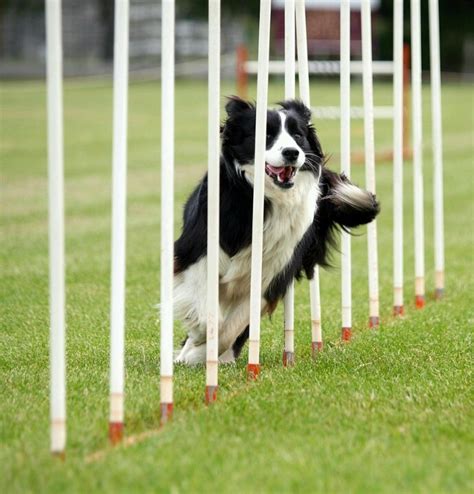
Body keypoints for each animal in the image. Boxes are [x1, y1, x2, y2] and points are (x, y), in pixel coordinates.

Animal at [173, 98, 378, 364]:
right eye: (266, 135)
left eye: (298, 135)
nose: (291, 152)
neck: (266, 199)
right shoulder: (198, 249)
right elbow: (208, 310)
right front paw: (197, 338)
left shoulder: (274, 271)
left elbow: (233, 326)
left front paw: (201, 351)